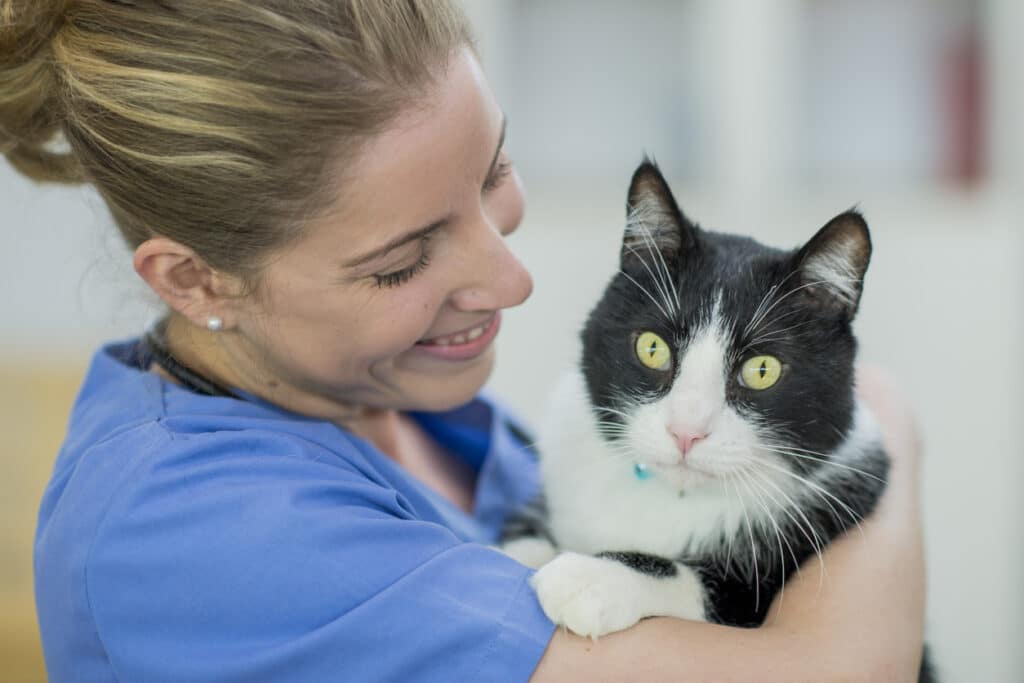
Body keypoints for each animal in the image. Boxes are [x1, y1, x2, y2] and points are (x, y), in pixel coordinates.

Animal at [503, 157, 937, 679]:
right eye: (652, 348)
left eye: (762, 370)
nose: (685, 432)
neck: (673, 497)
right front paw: (518, 549)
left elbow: (704, 587)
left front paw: (590, 577)